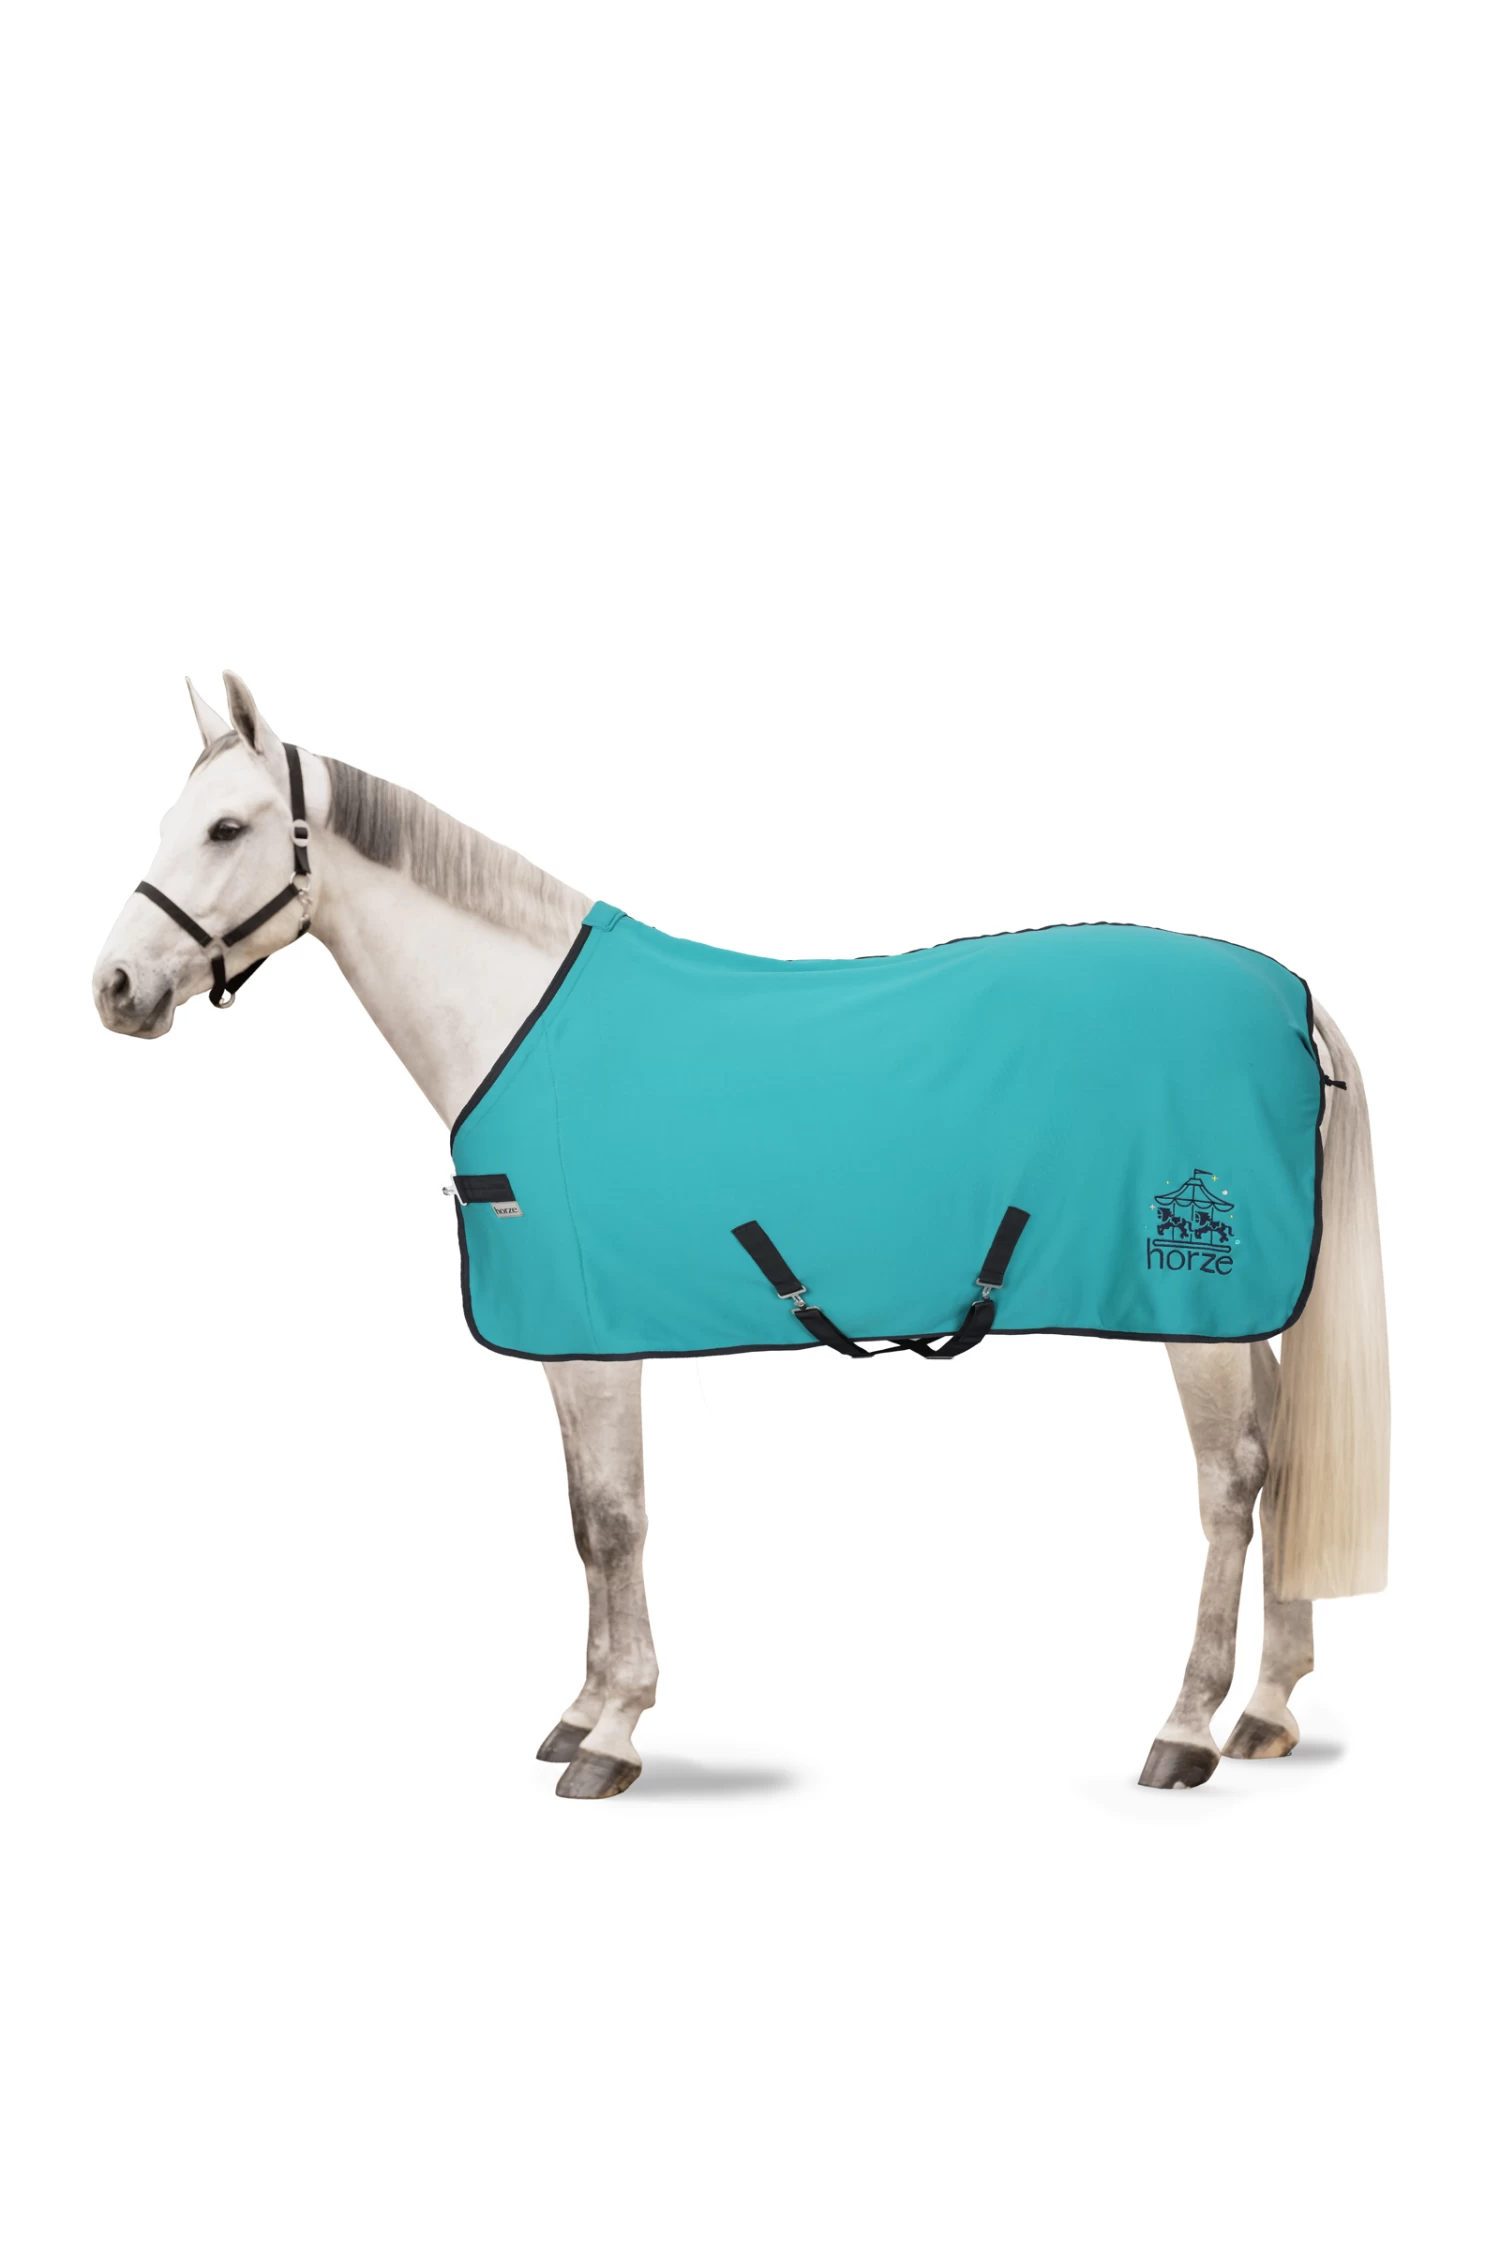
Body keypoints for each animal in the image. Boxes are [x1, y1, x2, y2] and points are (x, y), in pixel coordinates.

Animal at [92, 673, 1390, 1799]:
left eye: (226, 826)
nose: (114, 988)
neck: (518, 1019)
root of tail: (1288, 995)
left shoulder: (593, 1336)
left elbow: (616, 1519)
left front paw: (612, 1731)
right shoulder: (568, 1347)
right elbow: (584, 1519)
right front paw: (581, 1708)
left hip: (1195, 1306)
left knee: (1232, 1482)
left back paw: (1187, 1725)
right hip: (1242, 1311)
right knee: (1281, 1464)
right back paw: (1266, 1707)